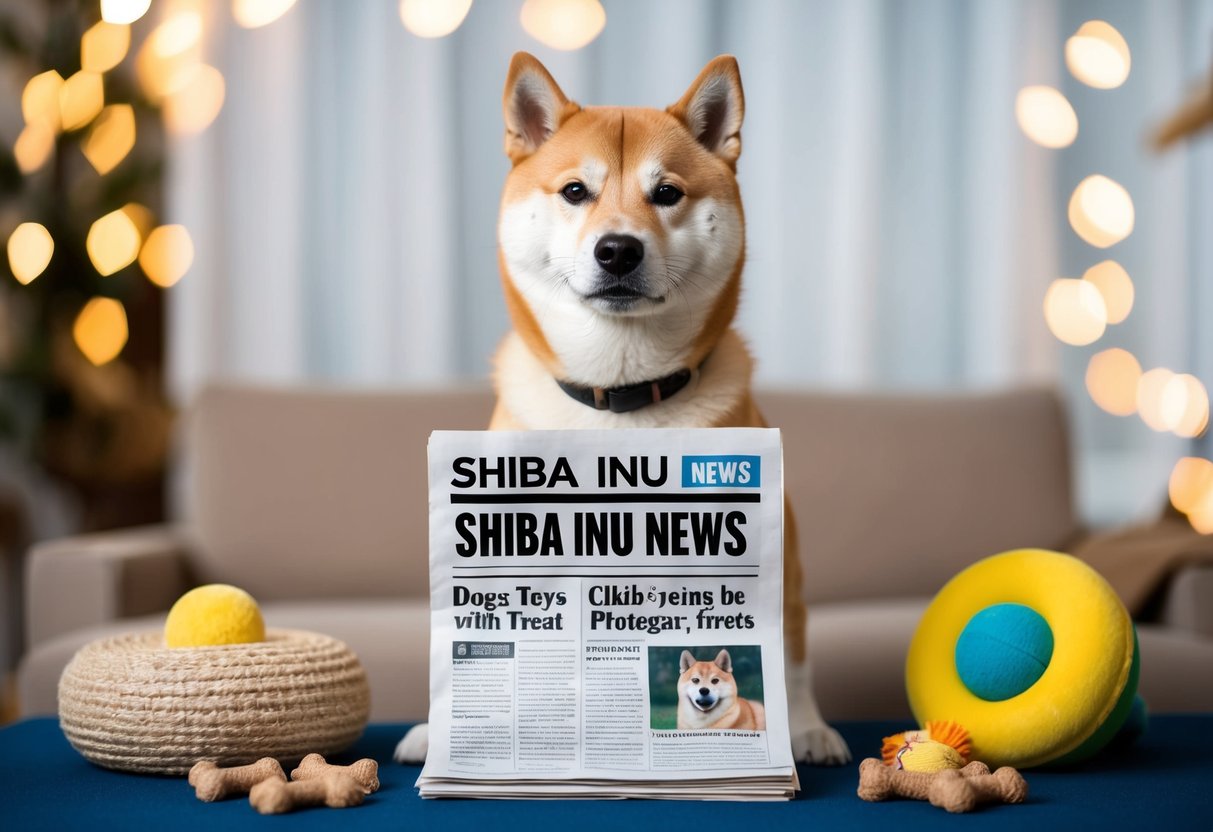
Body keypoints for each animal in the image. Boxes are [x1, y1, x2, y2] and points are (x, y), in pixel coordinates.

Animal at [393, 52, 849, 771]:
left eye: (666, 193)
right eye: (575, 191)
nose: (617, 250)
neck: (617, 399)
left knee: (796, 660)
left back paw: (804, 729)